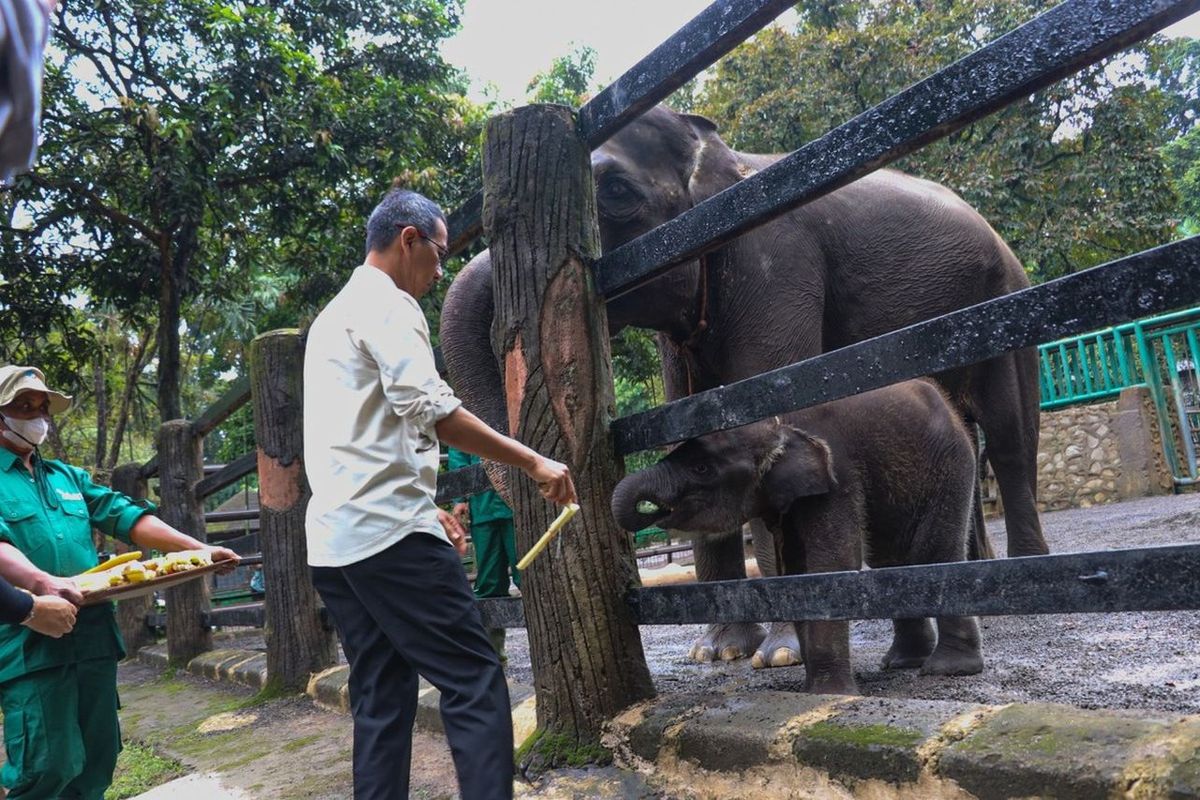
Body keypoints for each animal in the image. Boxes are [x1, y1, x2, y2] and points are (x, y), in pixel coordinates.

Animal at [609, 381, 984, 695]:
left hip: (951, 465)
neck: (775, 422)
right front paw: (810, 689)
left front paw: (828, 695)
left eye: (702, 469)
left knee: (936, 553)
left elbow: (831, 562)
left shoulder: (837, 474)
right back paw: (901, 663)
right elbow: (796, 570)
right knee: (889, 560)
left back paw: (949, 669)